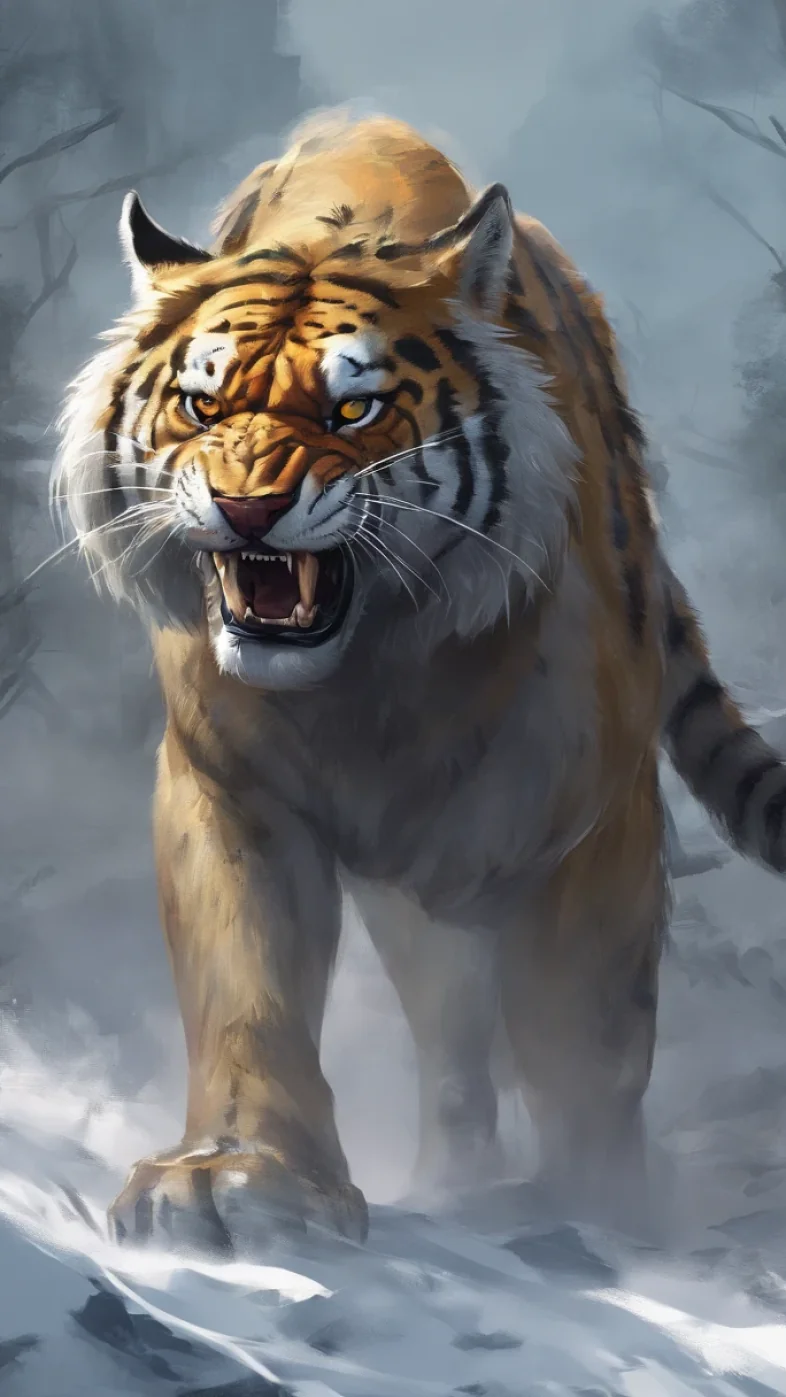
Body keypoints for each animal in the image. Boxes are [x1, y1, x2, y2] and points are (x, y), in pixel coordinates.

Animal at [55, 110, 786, 1250]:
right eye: (201, 403)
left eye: (352, 411)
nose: (246, 507)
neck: (372, 678)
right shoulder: (231, 783)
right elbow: (247, 984)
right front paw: (236, 1174)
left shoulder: (592, 821)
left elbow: (587, 1043)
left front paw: (601, 1206)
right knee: (447, 1039)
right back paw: (454, 1171)